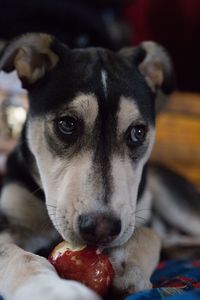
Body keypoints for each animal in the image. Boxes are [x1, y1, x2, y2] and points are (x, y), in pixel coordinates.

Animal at [0, 32, 198, 300]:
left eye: (138, 132)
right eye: (67, 124)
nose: (102, 229)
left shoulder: (139, 212)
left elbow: (148, 233)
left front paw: (129, 267)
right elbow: (20, 257)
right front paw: (54, 289)